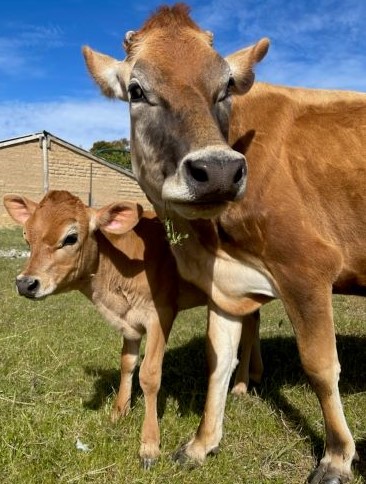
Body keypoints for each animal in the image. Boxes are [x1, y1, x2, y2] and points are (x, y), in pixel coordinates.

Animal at [1, 190, 262, 468]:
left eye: (70, 237)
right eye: (26, 237)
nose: (25, 283)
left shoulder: (161, 314)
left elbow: (149, 374)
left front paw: (149, 445)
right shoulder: (128, 322)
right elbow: (127, 363)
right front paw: (119, 411)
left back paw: (241, 385)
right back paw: (254, 373)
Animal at [83, 4, 366, 484]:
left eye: (226, 87)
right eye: (137, 91)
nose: (217, 171)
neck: (209, 241)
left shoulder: (306, 268)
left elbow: (321, 366)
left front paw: (336, 457)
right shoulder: (224, 282)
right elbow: (218, 361)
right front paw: (200, 444)